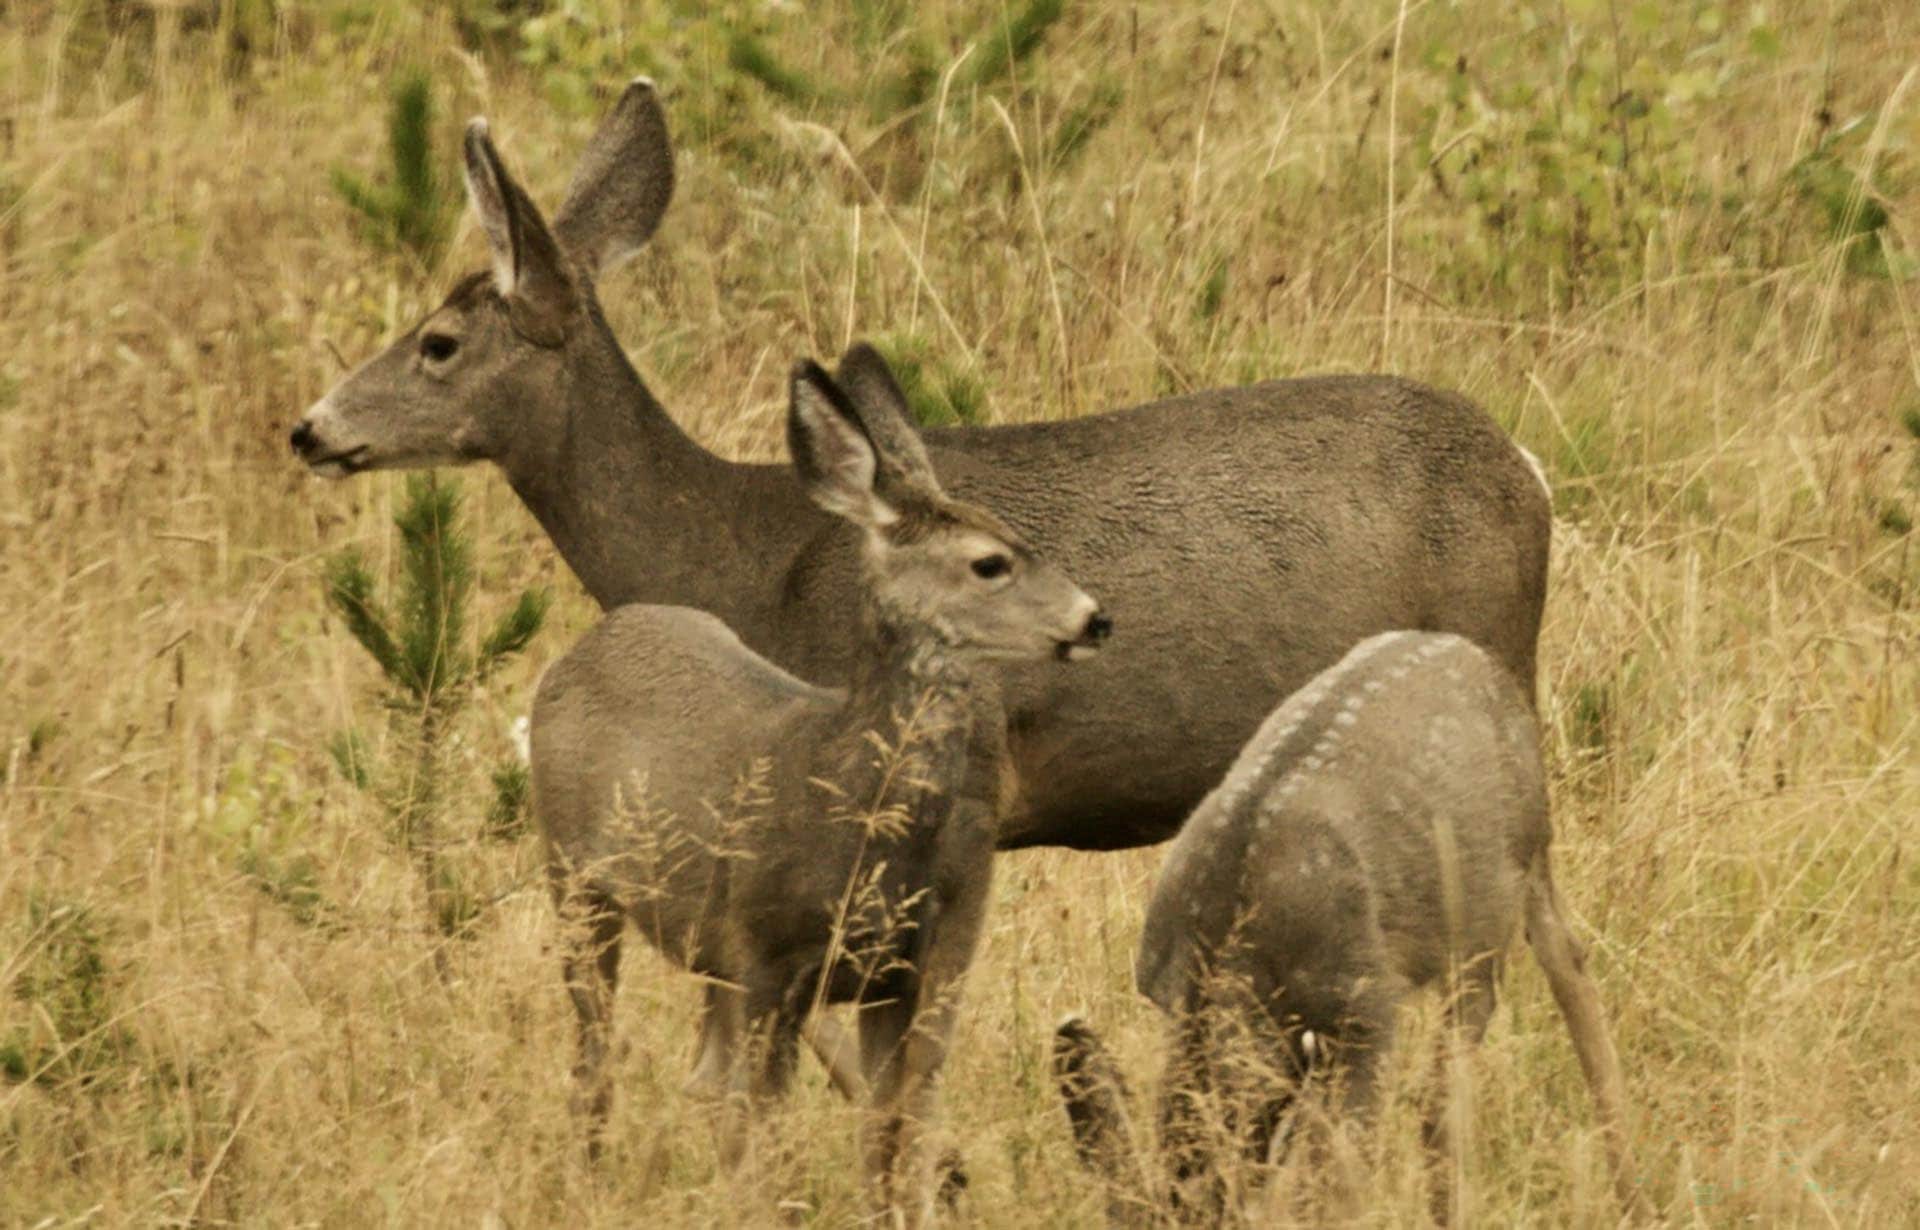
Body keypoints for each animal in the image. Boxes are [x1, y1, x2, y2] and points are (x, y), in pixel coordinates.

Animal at [530, 355, 1109, 1222]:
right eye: (989, 562)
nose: (1095, 618)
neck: (849, 800)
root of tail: (582, 649)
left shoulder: (892, 974)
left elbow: (885, 1131)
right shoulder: (771, 957)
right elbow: (775, 1122)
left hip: (706, 947)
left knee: (702, 1076)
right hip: (574, 873)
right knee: (598, 1054)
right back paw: (588, 1186)